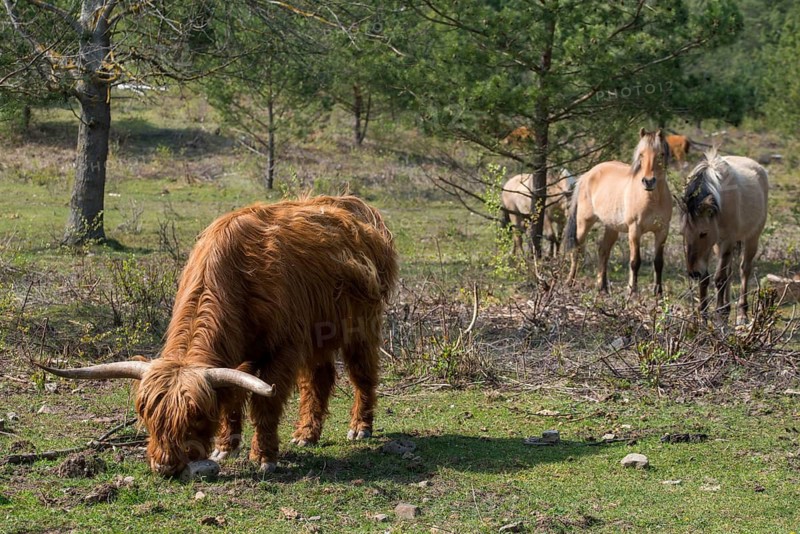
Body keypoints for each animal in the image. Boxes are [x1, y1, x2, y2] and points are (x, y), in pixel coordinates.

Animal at [38, 195, 399, 476]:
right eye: (147, 414)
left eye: (195, 417)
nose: (165, 467)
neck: (235, 277)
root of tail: (351, 205)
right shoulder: (235, 355)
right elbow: (231, 397)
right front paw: (226, 446)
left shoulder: (281, 349)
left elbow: (265, 403)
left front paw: (264, 457)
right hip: (319, 334)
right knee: (319, 379)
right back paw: (306, 435)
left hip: (362, 326)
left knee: (362, 375)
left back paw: (360, 428)